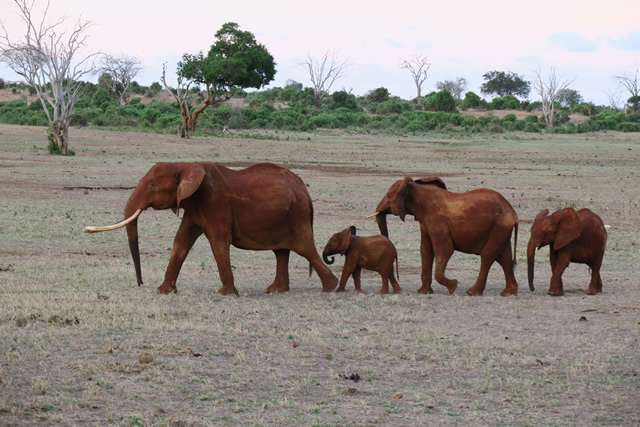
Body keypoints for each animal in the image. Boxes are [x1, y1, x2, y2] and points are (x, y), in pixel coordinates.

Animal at [86, 162, 340, 296]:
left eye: (152, 185)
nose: (140, 283)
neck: (185, 165)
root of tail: (305, 191)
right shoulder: (193, 207)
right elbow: (180, 242)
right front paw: (164, 291)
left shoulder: (215, 203)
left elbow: (218, 243)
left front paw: (226, 293)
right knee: (281, 252)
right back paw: (276, 290)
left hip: (297, 214)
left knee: (304, 248)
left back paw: (331, 287)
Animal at [372, 177, 516, 298]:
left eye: (388, 195)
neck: (416, 188)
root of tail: (513, 212)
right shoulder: (425, 223)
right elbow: (425, 251)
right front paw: (424, 292)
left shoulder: (437, 220)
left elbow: (445, 250)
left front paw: (453, 286)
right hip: (502, 228)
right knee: (505, 258)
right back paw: (508, 293)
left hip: (500, 226)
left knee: (488, 256)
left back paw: (472, 292)